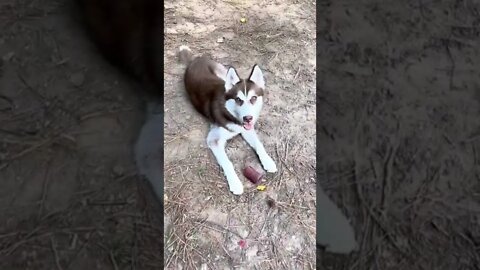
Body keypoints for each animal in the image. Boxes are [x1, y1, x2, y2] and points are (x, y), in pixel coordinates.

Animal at [179, 46, 278, 194]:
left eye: (253, 98)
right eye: (238, 100)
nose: (248, 118)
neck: (230, 112)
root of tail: (195, 59)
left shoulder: (246, 129)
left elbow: (259, 145)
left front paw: (268, 161)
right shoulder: (213, 140)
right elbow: (228, 162)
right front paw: (235, 183)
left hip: (223, 72)